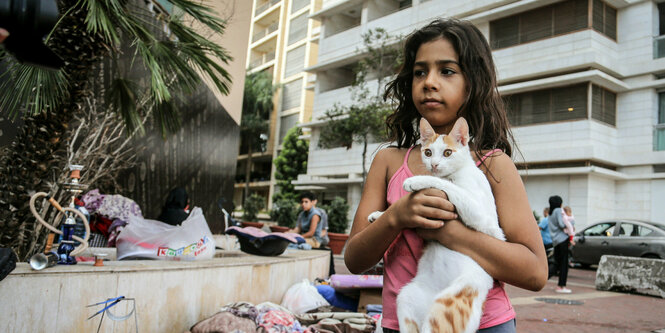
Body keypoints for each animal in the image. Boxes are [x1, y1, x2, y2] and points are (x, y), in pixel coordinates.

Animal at [368, 116, 504, 332]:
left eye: (448, 153)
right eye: (428, 152)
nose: (434, 165)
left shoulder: (482, 216)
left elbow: (447, 185)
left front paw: (417, 181)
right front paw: (379, 215)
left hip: (448, 304)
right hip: (407, 298)